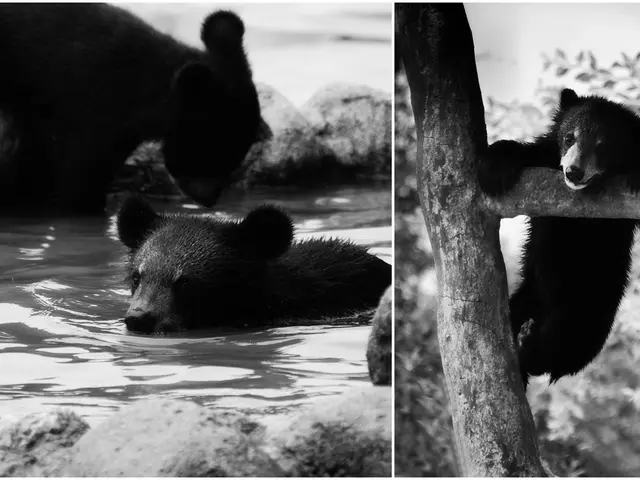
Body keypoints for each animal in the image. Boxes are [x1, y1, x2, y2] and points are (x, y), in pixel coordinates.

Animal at [477, 88, 640, 388]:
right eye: (569, 137)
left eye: (603, 146)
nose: (574, 172)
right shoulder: (547, 158)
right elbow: (529, 152)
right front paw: (493, 168)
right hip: (527, 295)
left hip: (590, 303)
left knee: (563, 340)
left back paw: (529, 343)